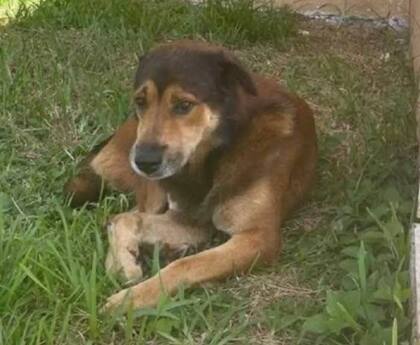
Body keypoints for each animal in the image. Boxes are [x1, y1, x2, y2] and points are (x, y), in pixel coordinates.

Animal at [64, 39, 316, 310]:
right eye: (140, 101)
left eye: (184, 105)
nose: (144, 162)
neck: (214, 156)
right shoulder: (189, 219)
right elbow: (128, 220)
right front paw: (126, 269)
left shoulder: (257, 237)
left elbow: (188, 264)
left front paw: (131, 300)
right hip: (152, 187)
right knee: (123, 215)